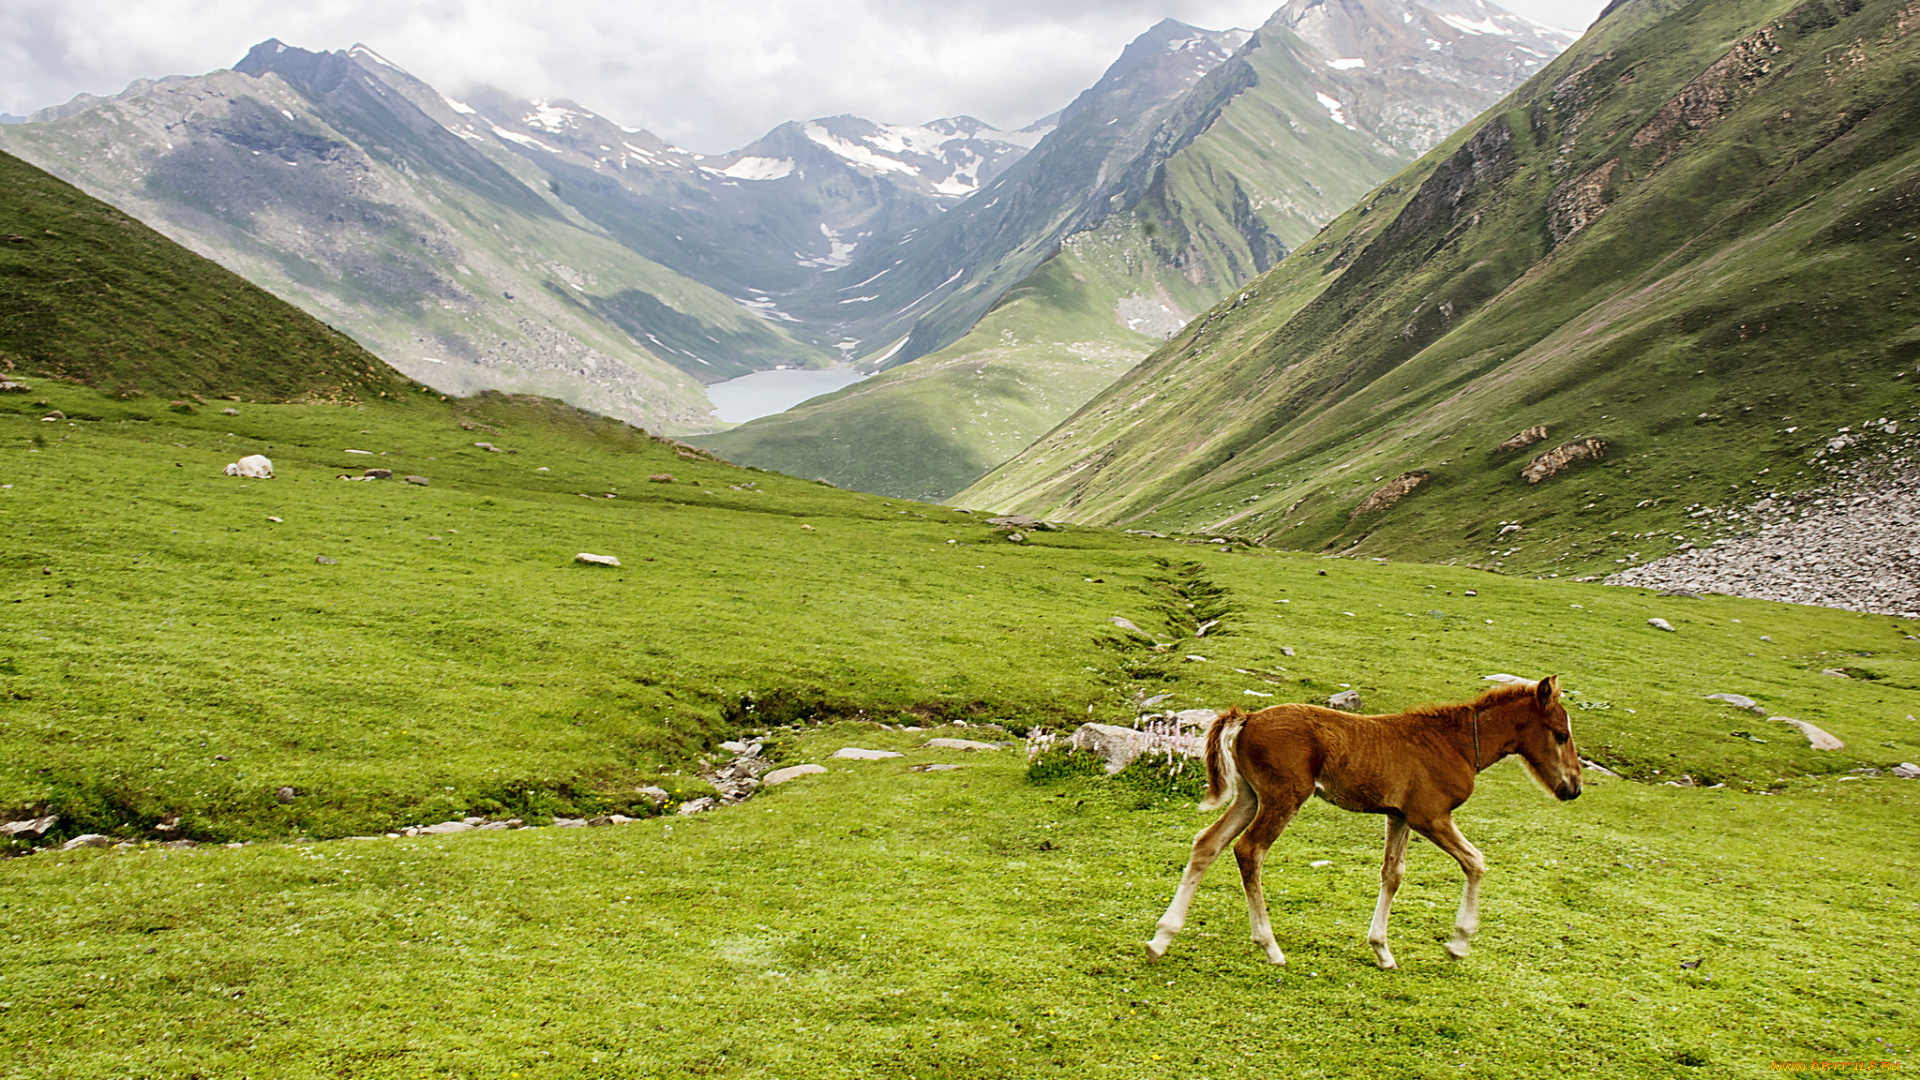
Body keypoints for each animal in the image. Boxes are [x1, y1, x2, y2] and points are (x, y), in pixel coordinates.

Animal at [1144, 672, 1582, 968]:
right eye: (1561, 734)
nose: (1574, 788)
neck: (1455, 743)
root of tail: (1248, 718)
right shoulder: (1430, 816)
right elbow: (1475, 861)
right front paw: (1458, 943)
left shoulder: (1400, 817)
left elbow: (1393, 874)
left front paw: (1382, 950)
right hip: (1283, 798)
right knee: (1249, 851)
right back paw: (1269, 946)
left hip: (1251, 797)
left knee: (1207, 843)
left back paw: (1161, 938)